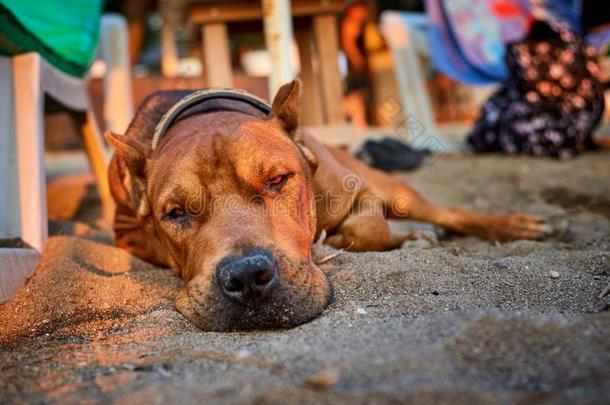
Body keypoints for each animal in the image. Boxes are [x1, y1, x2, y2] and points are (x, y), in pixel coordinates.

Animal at [104, 80, 548, 330]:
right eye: (176, 213)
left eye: (278, 180)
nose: (246, 277)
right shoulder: (125, 231)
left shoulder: (358, 189)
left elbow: (367, 227)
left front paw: (338, 242)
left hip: (394, 188)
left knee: (446, 213)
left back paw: (510, 225)